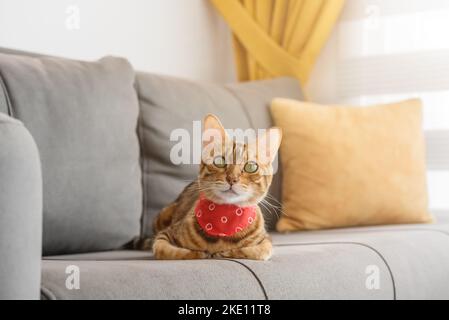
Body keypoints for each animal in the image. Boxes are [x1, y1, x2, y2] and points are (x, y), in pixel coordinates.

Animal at [142, 115, 280, 260]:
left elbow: (258, 251)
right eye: (220, 161)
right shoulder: (165, 235)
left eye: (251, 167)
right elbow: (169, 251)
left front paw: (226, 252)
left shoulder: (266, 240)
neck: (224, 220)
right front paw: (200, 253)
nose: (232, 179)